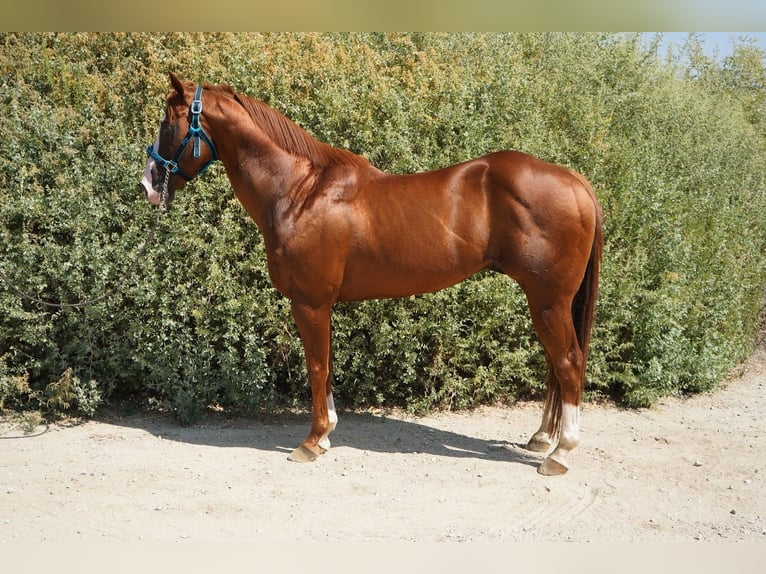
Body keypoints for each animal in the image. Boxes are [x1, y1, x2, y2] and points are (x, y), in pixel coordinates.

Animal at [140, 73, 602, 475]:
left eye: (168, 122)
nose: (148, 184)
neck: (299, 191)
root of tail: (575, 181)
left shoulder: (310, 303)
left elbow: (316, 368)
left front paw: (312, 442)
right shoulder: (320, 305)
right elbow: (326, 366)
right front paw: (326, 435)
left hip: (548, 302)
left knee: (568, 362)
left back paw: (560, 453)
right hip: (548, 303)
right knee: (557, 366)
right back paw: (543, 438)